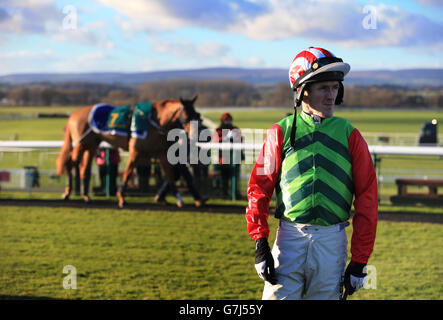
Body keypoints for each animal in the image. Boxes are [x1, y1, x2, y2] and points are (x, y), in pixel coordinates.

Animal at [55, 96, 199, 209]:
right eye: (186, 115)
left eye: (197, 115)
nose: (193, 134)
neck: (155, 122)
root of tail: (73, 114)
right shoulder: (135, 152)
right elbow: (128, 173)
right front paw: (121, 198)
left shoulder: (161, 153)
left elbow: (170, 176)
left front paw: (179, 199)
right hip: (80, 144)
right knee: (70, 164)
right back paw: (67, 193)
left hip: (90, 146)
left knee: (84, 169)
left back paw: (86, 196)